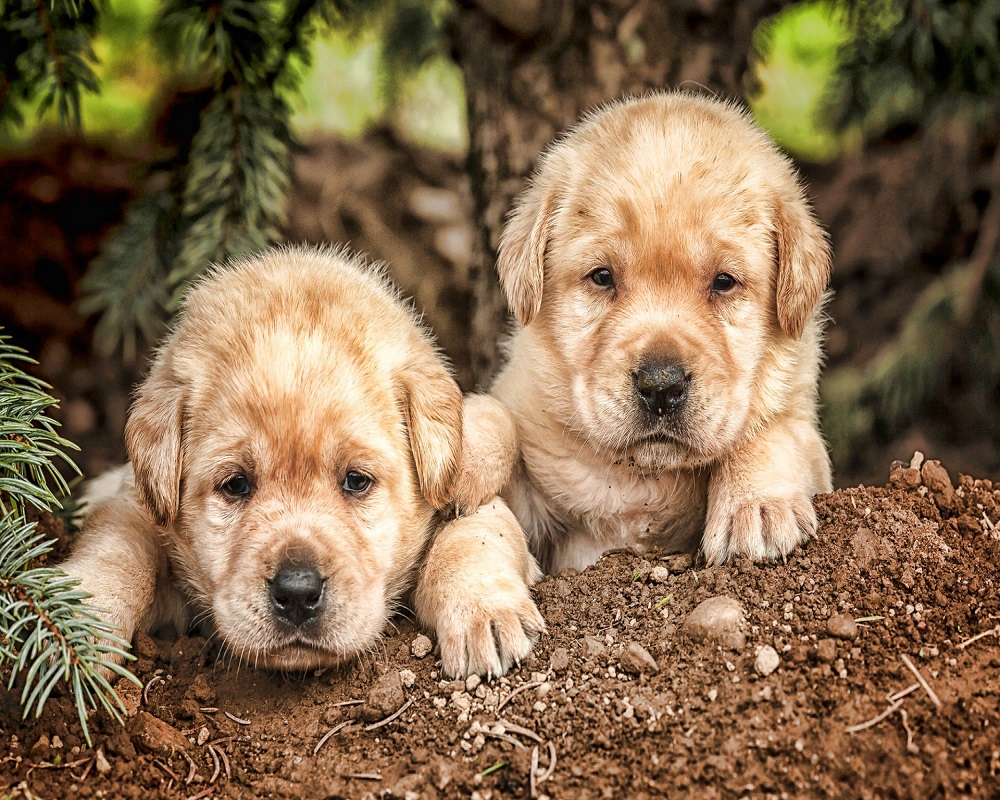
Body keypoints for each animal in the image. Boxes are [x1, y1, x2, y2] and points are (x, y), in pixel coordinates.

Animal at [58, 245, 544, 676]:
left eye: (356, 481)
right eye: (235, 484)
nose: (296, 593)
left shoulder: (463, 495)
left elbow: (473, 531)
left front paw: (484, 611)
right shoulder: (136, 506)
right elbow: (119, 547)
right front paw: (78, 623)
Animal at [458, 92, 832, 576]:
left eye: (724, 282)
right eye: (602, 276)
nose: (660, 387)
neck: (640, 477)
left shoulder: (802, 423)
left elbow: (777, 429)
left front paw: (758, 507)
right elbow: (499, 415)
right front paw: (459, 454)